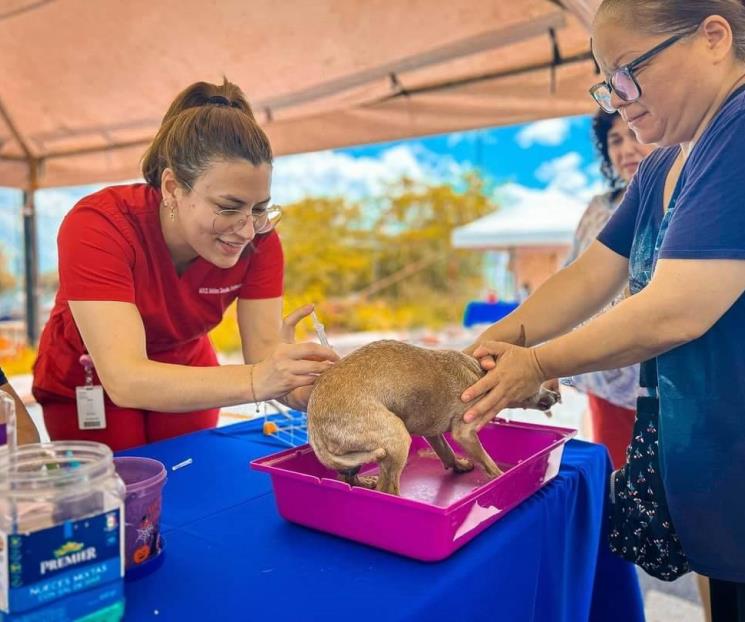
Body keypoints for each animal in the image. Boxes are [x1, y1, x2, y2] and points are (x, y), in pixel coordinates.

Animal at [304, 336, 560, 498]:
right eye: (537, 381)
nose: (556, 395)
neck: (479, 372)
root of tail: (314, 425)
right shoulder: (465, 433)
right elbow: (487, 461)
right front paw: (500, 476)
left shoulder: (434, 434)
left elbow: (446, 453)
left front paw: (458, 465)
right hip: (398, 439)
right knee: (387, 490)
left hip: (356, 456)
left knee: (346, 475)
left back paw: (364, 483)